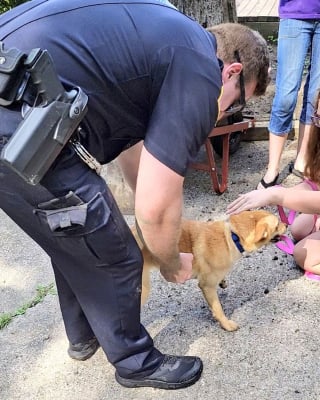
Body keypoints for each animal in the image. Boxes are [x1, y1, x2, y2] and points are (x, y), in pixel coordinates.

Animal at [132, 209, 284, 332]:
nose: (287, 224)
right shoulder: (207, 286)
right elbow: (218, 308)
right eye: (277, 225)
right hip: (143, 290)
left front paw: (222, 282)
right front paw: (226, 324)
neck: (231, 236)